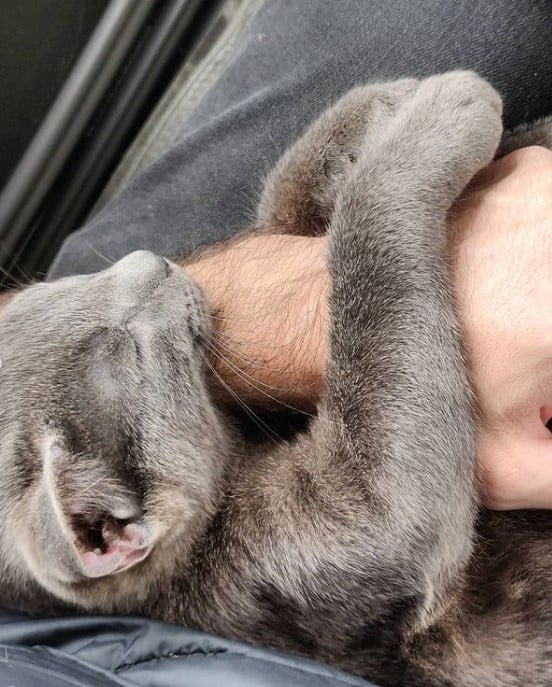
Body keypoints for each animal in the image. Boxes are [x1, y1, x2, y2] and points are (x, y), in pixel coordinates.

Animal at [1, 71, 552, 687]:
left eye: (58, 289)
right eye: (130, 348)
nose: (150, 260)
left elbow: (282, 216)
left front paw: (374, 109)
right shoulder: (298, 556)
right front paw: (437, 116)